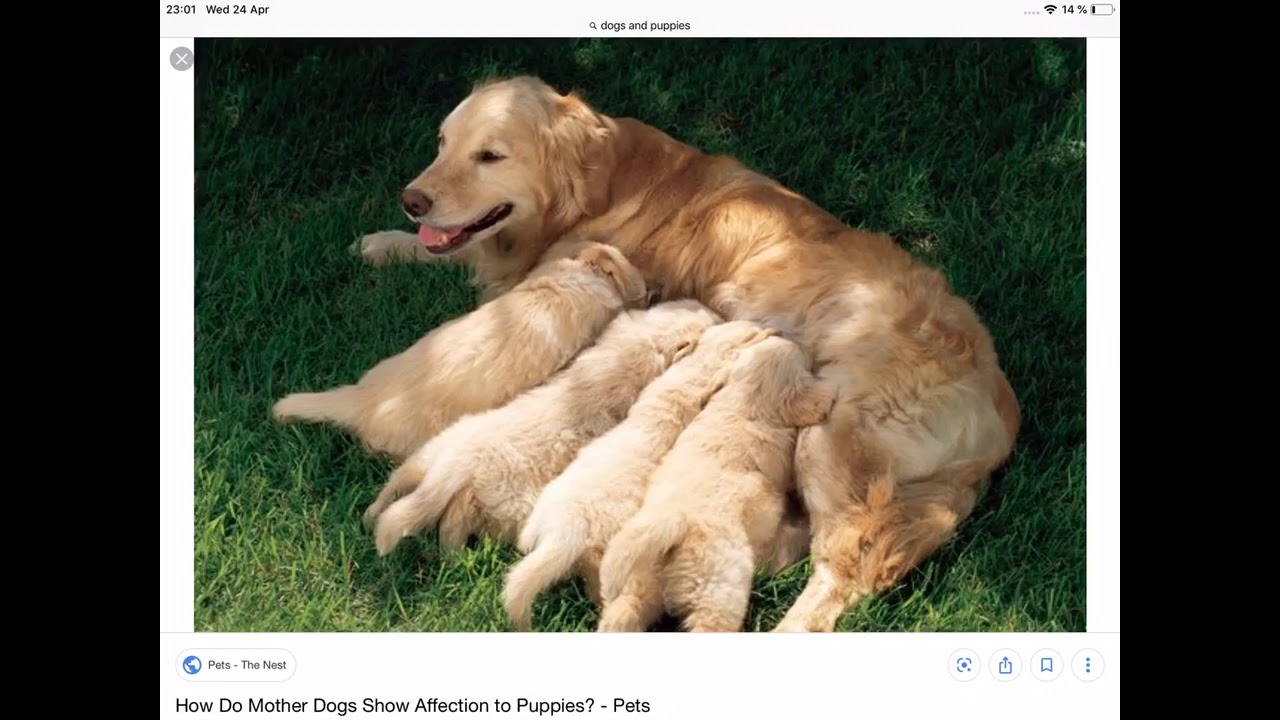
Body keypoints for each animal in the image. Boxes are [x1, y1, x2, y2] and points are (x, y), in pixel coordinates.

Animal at [363, 300, 721, 556]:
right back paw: (453, 554)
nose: (716, 311)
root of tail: (459, 465)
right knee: (452, 518)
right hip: (500, 502)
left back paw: (372, 516)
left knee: (398, 485)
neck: (642, 344)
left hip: (431, 452)